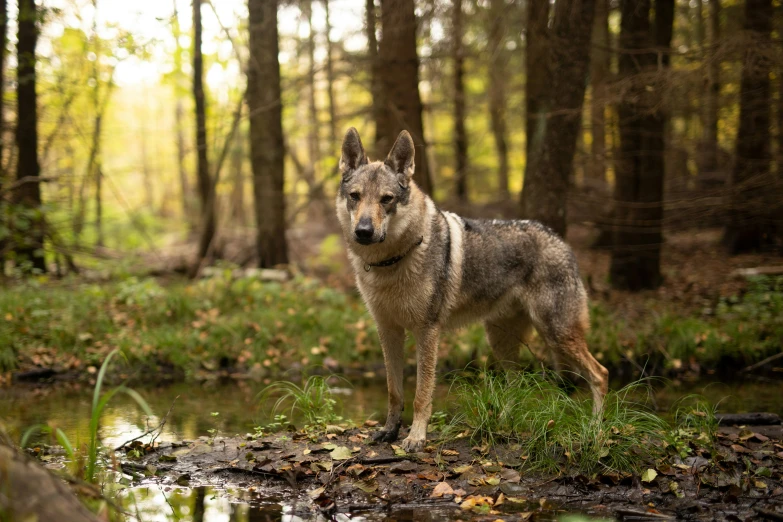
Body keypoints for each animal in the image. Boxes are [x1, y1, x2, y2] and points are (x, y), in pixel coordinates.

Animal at [334, 127, 608, 450]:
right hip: (502, 340)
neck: (390, 262)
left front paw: (416, 437)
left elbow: (421, 394)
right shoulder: (388, 330)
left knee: (600, 374)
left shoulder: (428, 331)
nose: (363, 232)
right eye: (355, 196)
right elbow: (394, 391)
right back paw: (502, 424)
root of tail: (561, 240)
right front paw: (389, 431)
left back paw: (595, 431)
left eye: (386, 199)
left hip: (556, 333)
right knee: (516, 383)